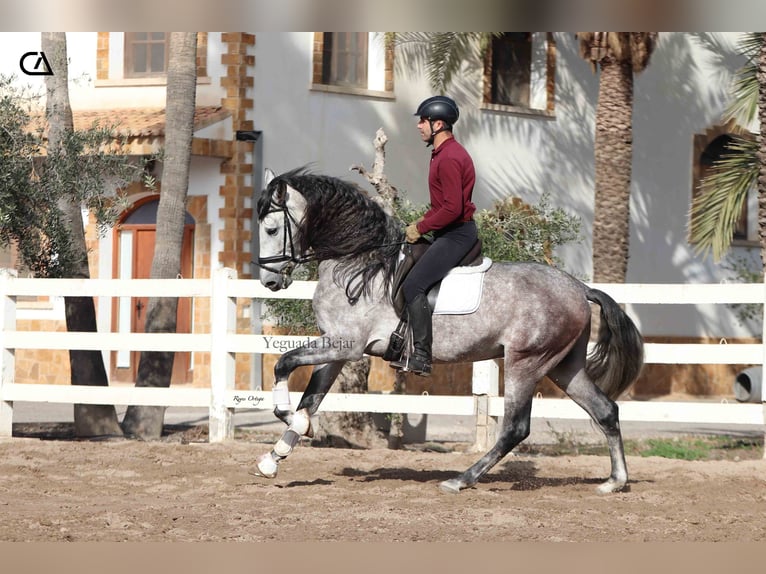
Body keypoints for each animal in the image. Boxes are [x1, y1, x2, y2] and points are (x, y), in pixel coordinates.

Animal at [252, 168, 640, 496]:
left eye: (271, 230)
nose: (269, 282)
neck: (358, 261)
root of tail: (580, 288)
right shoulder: (335, 350)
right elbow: (309, 399)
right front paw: (276, 455)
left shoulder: (345, 345)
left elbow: (283, 364)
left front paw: (296, 427)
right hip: (564, 366)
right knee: (605, 410)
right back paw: (614, 482)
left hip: (525, 363)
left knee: (515, 428)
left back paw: (461, 480)